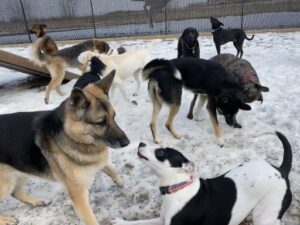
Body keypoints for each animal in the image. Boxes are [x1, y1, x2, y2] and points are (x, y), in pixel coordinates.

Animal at [0, 72, 129, 225]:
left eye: (114, 116)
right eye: (101, 122)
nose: (127, 142)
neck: (70, 133)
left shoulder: (94, 161)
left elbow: (110, 169)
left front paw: (122, 183)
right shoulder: (78, 195)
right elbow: (91, 219)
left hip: (19, 171)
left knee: (16, 192)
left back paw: (37, 201)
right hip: (6, 182)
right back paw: (6, 219)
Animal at [113, 132, 292, 225]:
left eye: (161, 152)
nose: (141, 144)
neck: (179, 187)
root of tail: (281, 170)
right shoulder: (162, 220)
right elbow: (138, 223)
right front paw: (120, 222)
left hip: (265, 216)